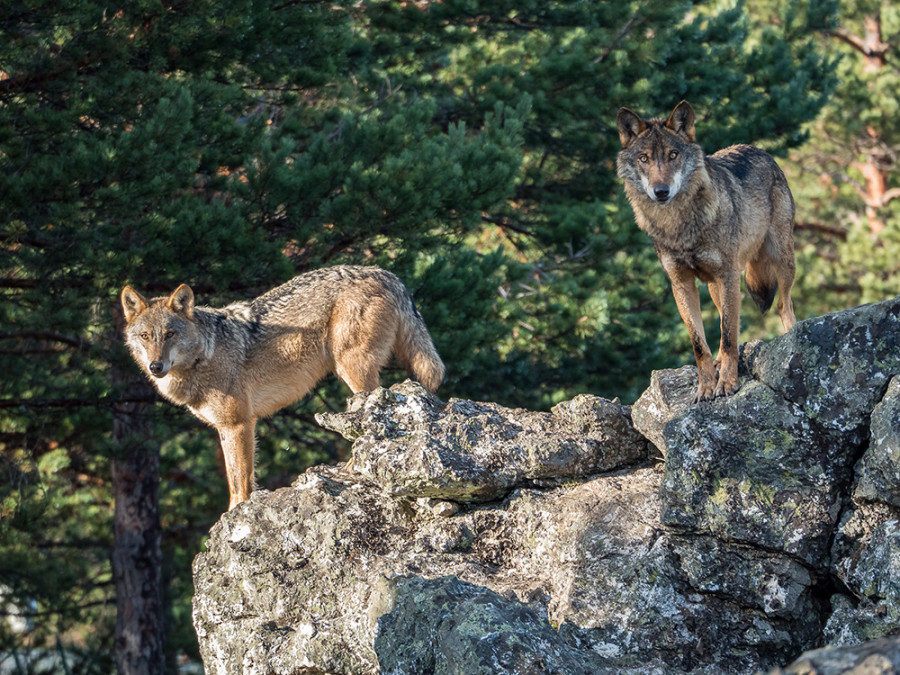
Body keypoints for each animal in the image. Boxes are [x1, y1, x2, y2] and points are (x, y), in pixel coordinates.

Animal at [119, 266, 442, 510]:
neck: (205, 355)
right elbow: (235, 480)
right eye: (145, 336)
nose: (156, 367)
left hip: (352, 368)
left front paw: (236, 517)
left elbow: (242, 482)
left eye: (170, 334)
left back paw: (353, 467)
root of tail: (385, 273)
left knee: (370, 420)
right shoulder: (225, 428)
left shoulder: (239, 424)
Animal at [616, 101, 800, 402]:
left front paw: (726, 383)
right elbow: (700, 343)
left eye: (673, 155)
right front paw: (705, 387)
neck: (679, 226)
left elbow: (728, 335)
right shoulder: (681, 283)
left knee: (783, 304)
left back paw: (793, 337)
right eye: (644, 158)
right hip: (716, 286)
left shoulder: (729, 275)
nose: (661, 191)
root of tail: (757, 148)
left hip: (781, 259)